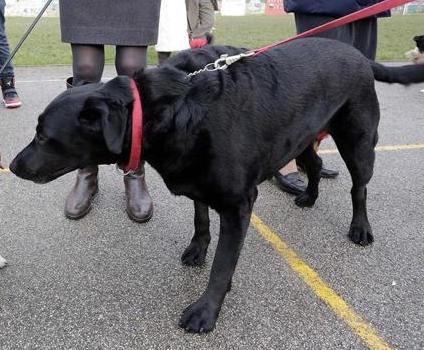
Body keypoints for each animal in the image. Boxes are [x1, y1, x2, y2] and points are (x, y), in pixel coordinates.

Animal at [9, 39, 424, 332]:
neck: (169, 107)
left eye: (44, 136)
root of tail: (357, 53)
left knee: (359, 188)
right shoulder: (198, 180)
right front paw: (197, 249)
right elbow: (200, 219)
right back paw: (308, 195)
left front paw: (206, 310)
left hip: (357, 140)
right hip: (302, 138)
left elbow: (223, 265)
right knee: (316, 164)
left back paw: (360, 228)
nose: (12, 166)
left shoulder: (239, 203)